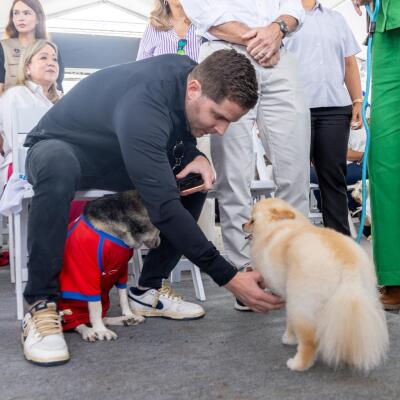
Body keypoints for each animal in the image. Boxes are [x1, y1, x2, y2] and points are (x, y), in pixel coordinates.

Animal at [57, 191, 160, 342]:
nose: (160, 243)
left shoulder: (122, 269)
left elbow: (123, 295)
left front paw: (128, 314)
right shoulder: (89, 272)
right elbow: (95, 306)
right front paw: (100, 330)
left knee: (102, 317)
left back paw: (124, 320)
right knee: (77, 322)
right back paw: (90, 331)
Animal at [243, 198, 388, 372]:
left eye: (252, 220)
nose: (242, 225)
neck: (274, 227)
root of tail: (348, 266)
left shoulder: (289, 296)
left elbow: (289, 320)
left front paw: (289, 338)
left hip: (301, 302)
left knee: (309, 341)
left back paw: (297, 364)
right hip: (357, 299)